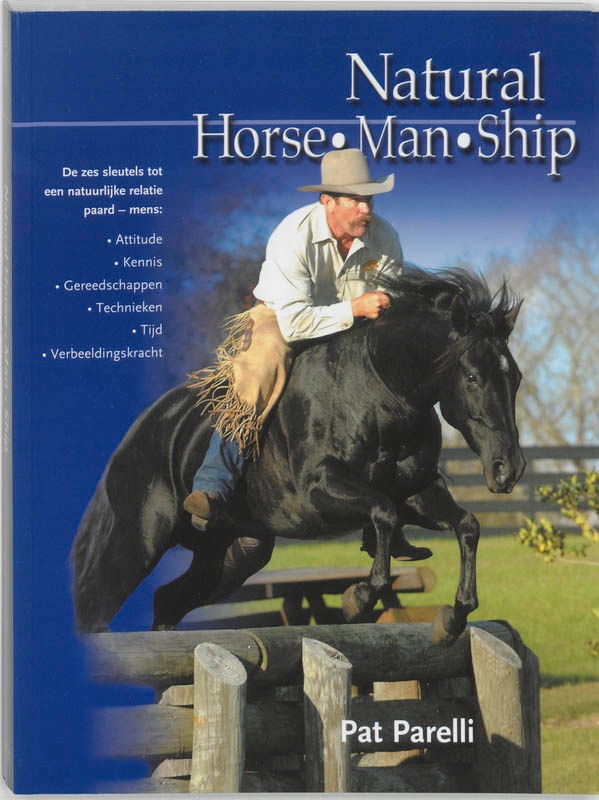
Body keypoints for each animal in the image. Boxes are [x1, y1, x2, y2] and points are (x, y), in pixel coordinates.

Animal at [71, 265, 525, 643]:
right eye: (472, 376)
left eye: (515, 377)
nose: (508, 469)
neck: (380, 390)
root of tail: (137, 432)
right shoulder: (321, 488)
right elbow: (383, 514)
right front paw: (358, 599)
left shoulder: (417, 492)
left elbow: (466, 525)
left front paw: (453, 618)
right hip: (140, 541)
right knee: (96, 606)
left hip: (235, 552)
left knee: (167, 600)